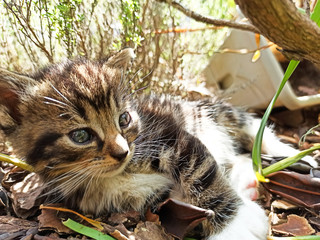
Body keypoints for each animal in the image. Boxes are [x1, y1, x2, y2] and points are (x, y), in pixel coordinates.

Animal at [0, 48, 312, 238]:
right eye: (80, 136)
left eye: (124, 119)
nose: (123, 152)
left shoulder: (168, 134)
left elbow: (202, 171)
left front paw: (233, 225)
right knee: (238, 158)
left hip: (208, 110)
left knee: (249, 125)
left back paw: (292, 152)